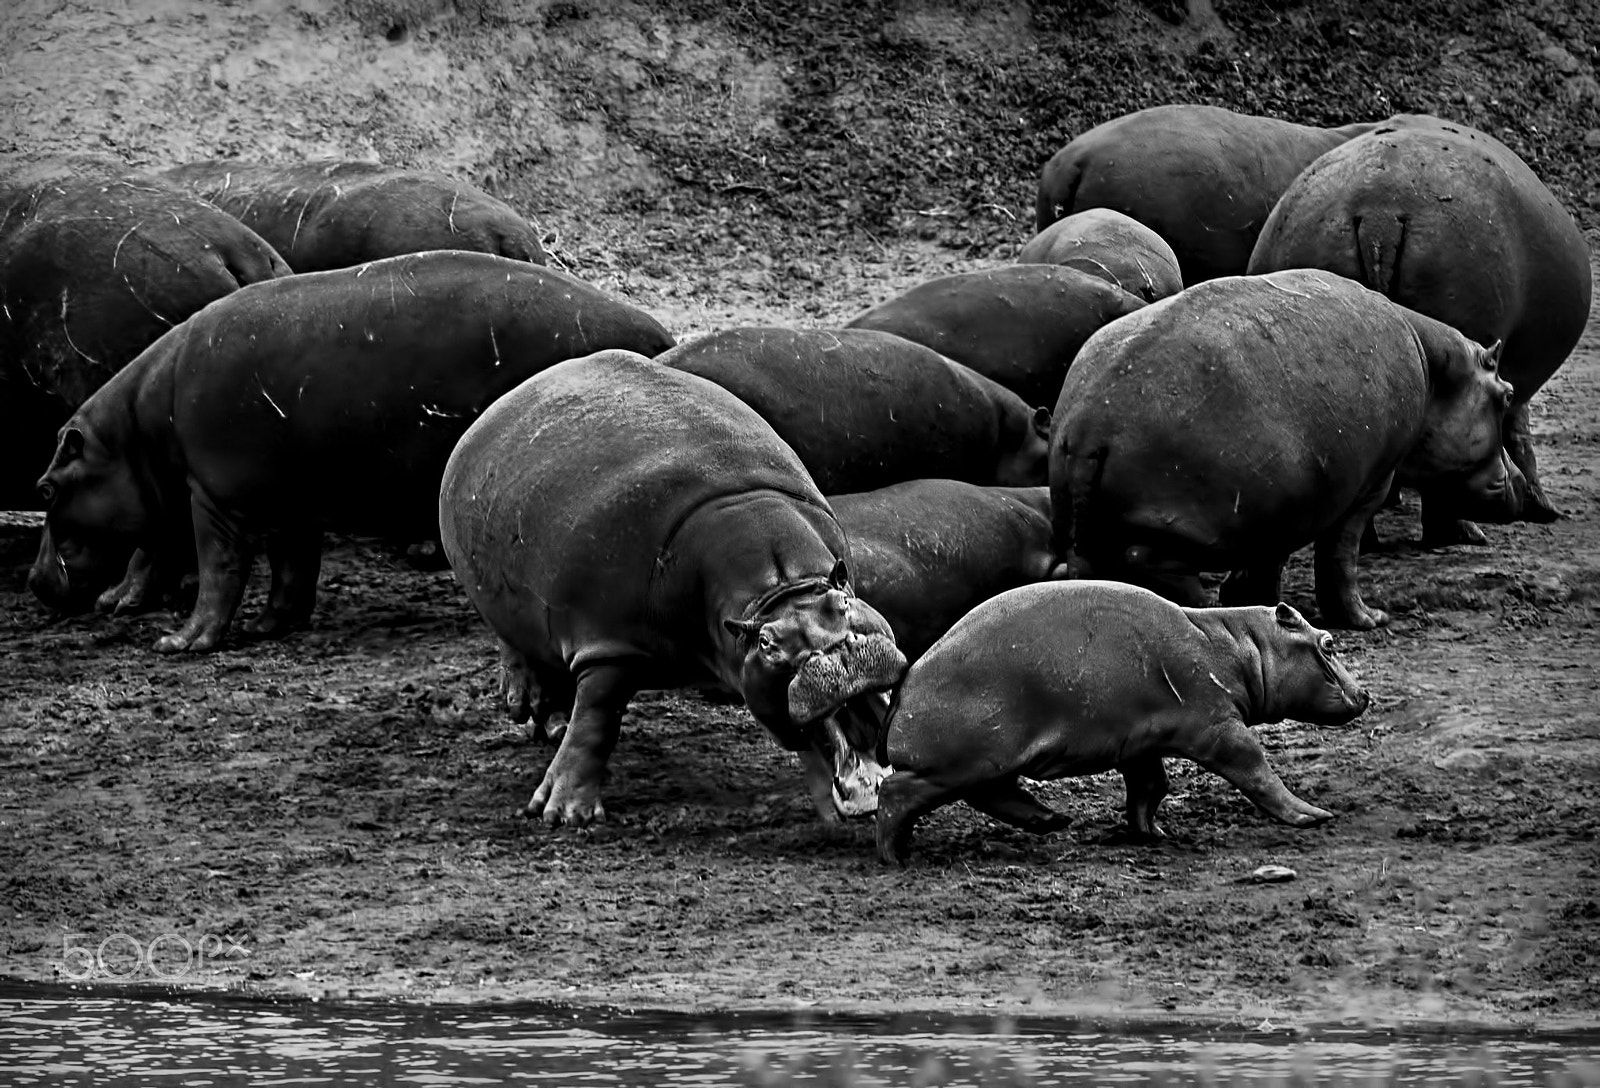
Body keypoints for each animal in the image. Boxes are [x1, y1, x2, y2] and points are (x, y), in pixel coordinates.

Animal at [438, 348, 915, 825]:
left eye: (843, 602)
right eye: (766, 643)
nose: (840, 655)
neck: (780, 592)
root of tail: (512, 396)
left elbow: (807, 745)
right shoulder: (610, 645)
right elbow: (596, 721)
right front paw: (564, 814)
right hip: (498, 597)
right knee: (519, 647)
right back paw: (540, 712)